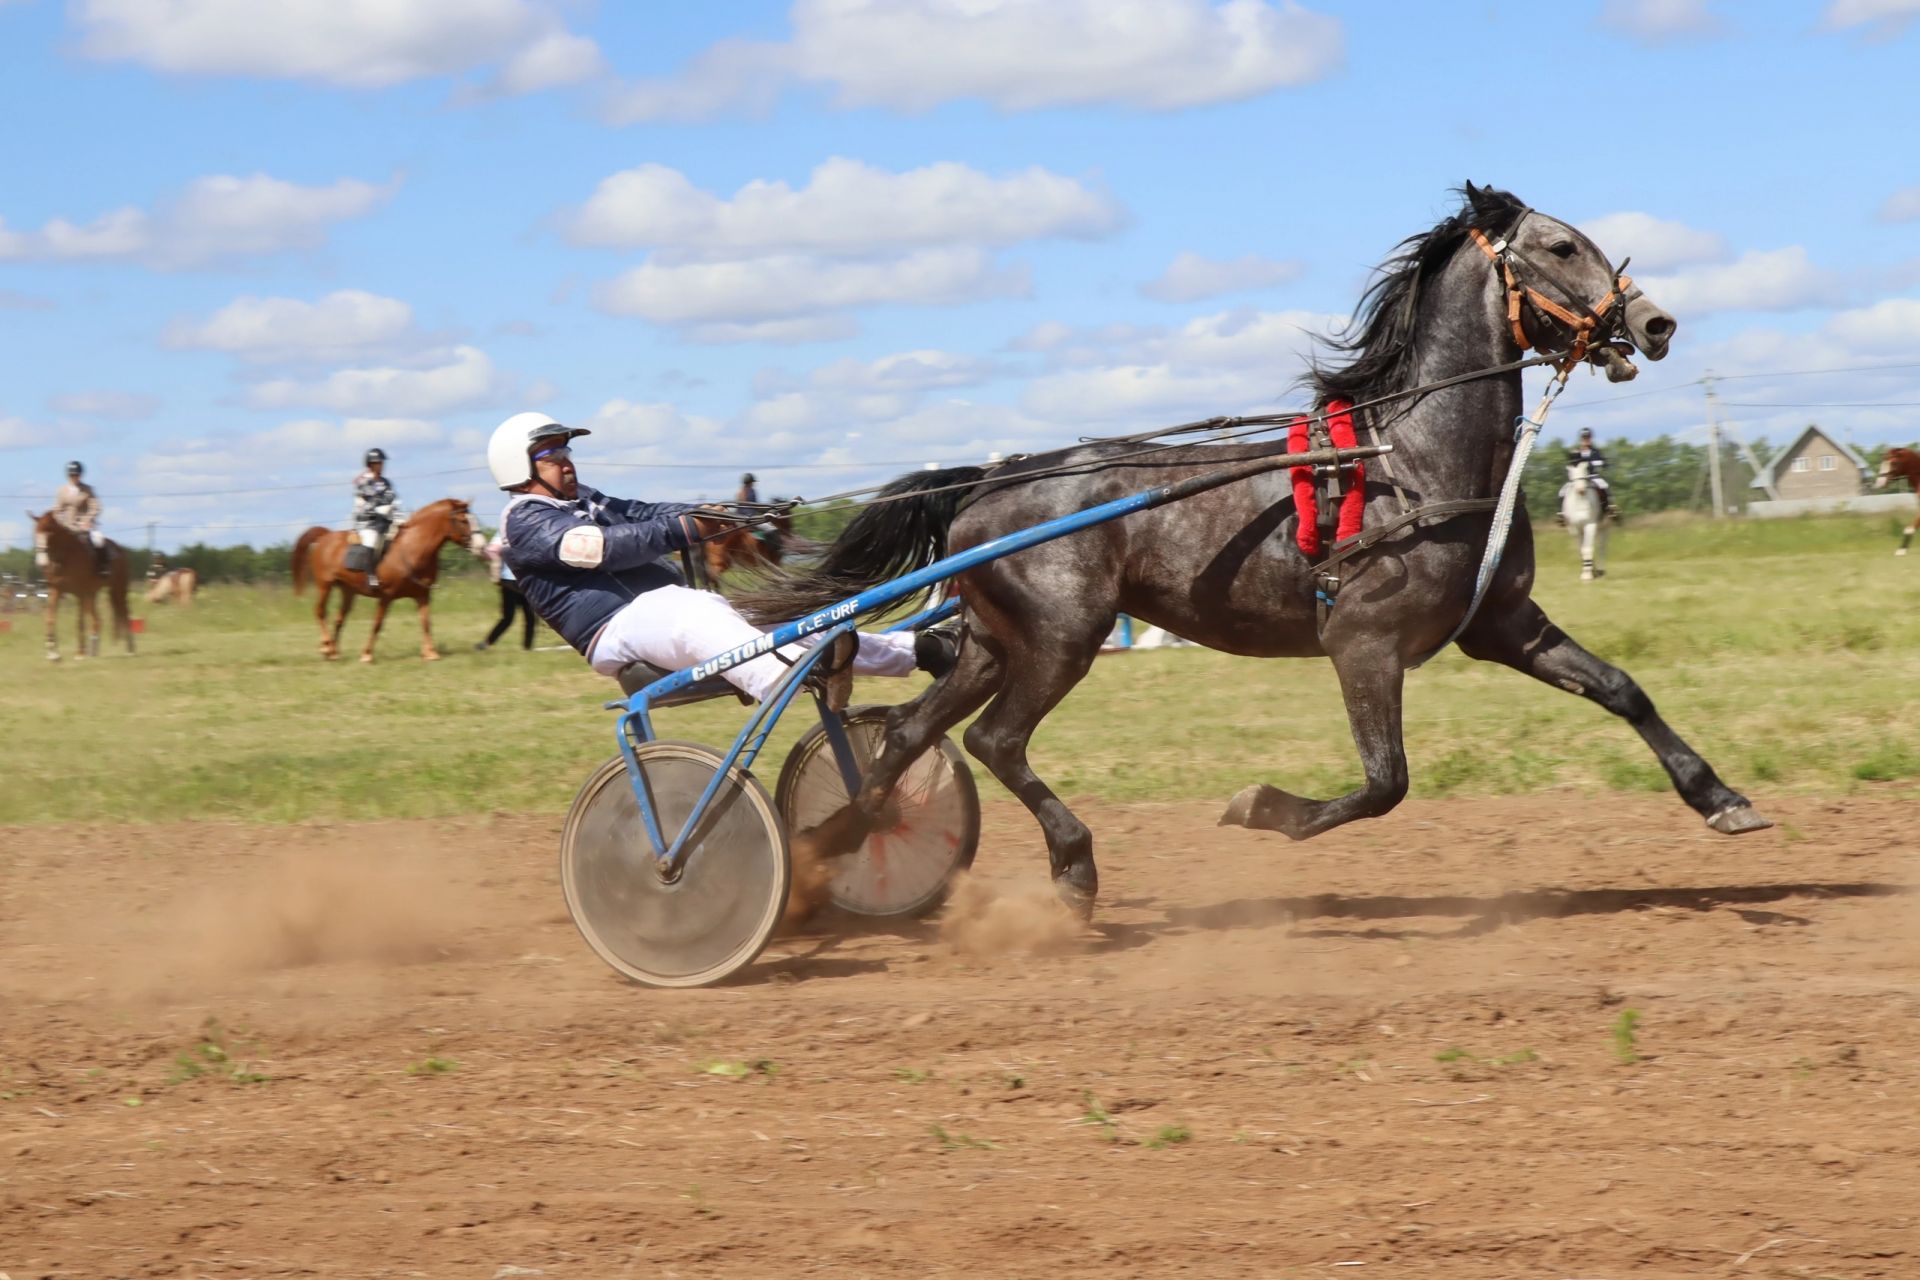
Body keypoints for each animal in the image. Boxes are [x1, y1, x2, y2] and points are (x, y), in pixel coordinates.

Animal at [29, 510, 132, 660]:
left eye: (50, 532)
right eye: (35, 533)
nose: (41, 562)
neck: (65, 556)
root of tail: (120, 549)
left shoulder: (80, 593)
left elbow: (79, 622)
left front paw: (80, 653)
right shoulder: (56, 590)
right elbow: (50, 618)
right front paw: (52, 652)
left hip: (118, 587)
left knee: (123, 613)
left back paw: (130, 648)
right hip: (95, 593)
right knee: (98, 619)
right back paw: (95, 647)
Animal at [295, 498, 487, 667]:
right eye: (463, 520)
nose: (481, 547)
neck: (413, 550)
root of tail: (325, 536)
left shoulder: (423, 596)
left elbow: (426, 622)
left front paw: (431, 653)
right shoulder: (386, 597)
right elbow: (377, 624)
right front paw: (367, 655)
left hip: (348, 591)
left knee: (339, 619)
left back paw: (332, 651)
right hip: (324, 586)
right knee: (320, 612)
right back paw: (327, 646)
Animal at [744, 185, 1766, 917]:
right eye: (1560, 247)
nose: (1656, 323)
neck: (1409, 462)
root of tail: (993, 479)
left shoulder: (1503, 622)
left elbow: (1622, 690)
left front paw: (1721, 798)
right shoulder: (1362, 643)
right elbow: (1385, 784)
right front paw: (1263, 808)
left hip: (998, 641)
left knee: (911, 735)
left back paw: (837, 842)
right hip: (1064, 636)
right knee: (995, 740)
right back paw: (1071, 868)